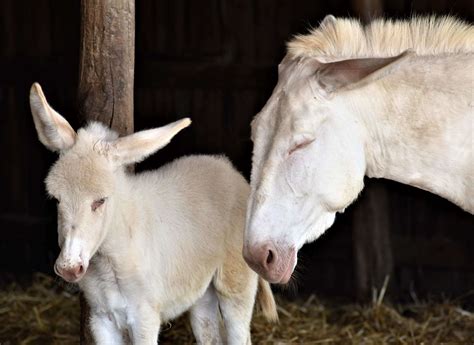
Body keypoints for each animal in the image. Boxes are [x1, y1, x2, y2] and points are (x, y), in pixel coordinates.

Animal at [30, 82, 278, 342]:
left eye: (100, 201)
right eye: (56, 199)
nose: (68, 268)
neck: (110, 262)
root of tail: (229, 170)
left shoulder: (145, 317)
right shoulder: (101, 318)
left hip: (236, 285)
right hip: (202, 292)